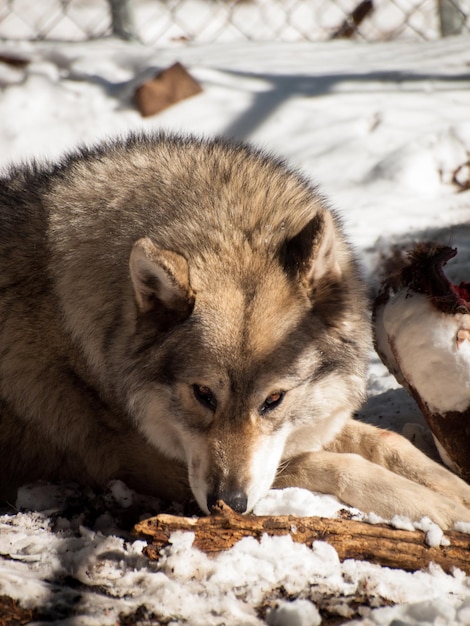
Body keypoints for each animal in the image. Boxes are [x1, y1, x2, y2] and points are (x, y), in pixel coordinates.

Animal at [0, 133, 470, 528]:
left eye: (274, 399)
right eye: (202, 394)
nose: (227, 503)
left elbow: (386, 440)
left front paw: (457, 492)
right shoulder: (150, 465)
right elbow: (337, 465)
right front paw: (442, 509)